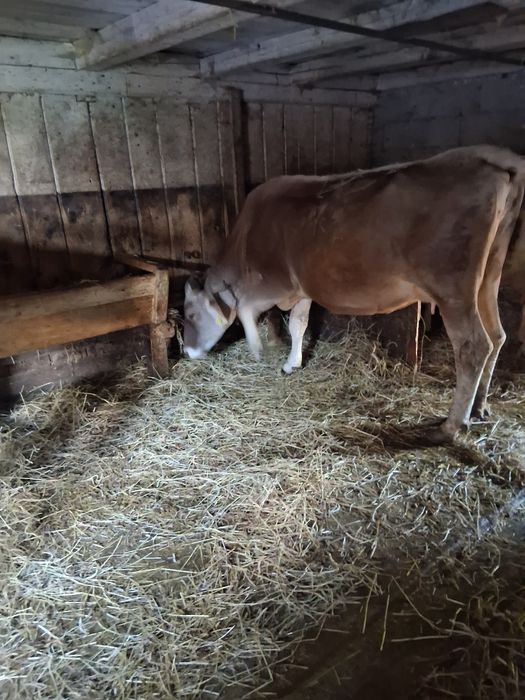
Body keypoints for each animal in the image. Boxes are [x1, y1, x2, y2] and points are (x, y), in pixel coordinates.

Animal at [183, 146, 525, 444]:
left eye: (189, 314)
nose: (186, 352)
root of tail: (491, 156)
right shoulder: (302, 287)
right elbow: (298, 324)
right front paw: (292, 363)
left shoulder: (274, 283)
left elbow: (246, 311)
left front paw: (257, 348)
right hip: (488, 277)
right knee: (497, 335)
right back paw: (479, 406)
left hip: (453, 289)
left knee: (473, 346)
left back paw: (450, 426)